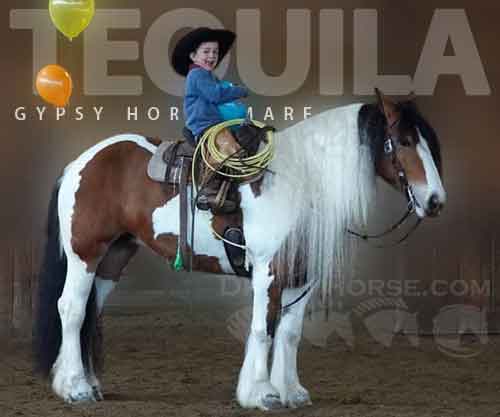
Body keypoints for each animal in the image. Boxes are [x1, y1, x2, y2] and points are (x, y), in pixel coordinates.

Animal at [32, 90, 446, 410]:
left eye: (429, 143)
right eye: (404, 142)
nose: (436, 201)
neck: (298, 180)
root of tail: (79, 163)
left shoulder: (301, 276)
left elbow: (290, 332)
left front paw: (292, 392)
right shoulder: (268, 270)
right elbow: (263, 328)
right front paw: (261, 393)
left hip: (113, 259)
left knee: (91, 312)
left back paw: (89, 383)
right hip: (85, 254)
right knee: (71, 310)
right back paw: (75, 388)